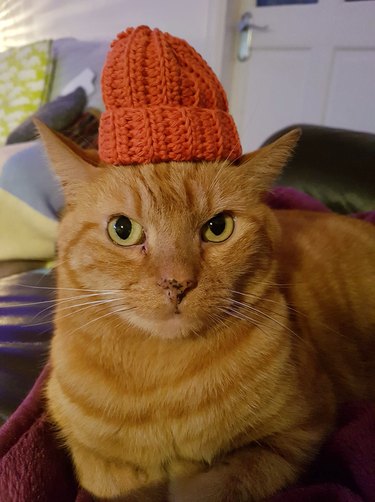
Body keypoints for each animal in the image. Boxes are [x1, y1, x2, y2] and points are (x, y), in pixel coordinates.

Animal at [36, 118, 375, 502]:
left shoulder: (299, 431)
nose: (178, 283)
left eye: (218, 227)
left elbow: (219, 484)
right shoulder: (89, 455)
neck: (161, 379)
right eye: (122, 229)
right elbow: (119, 483)